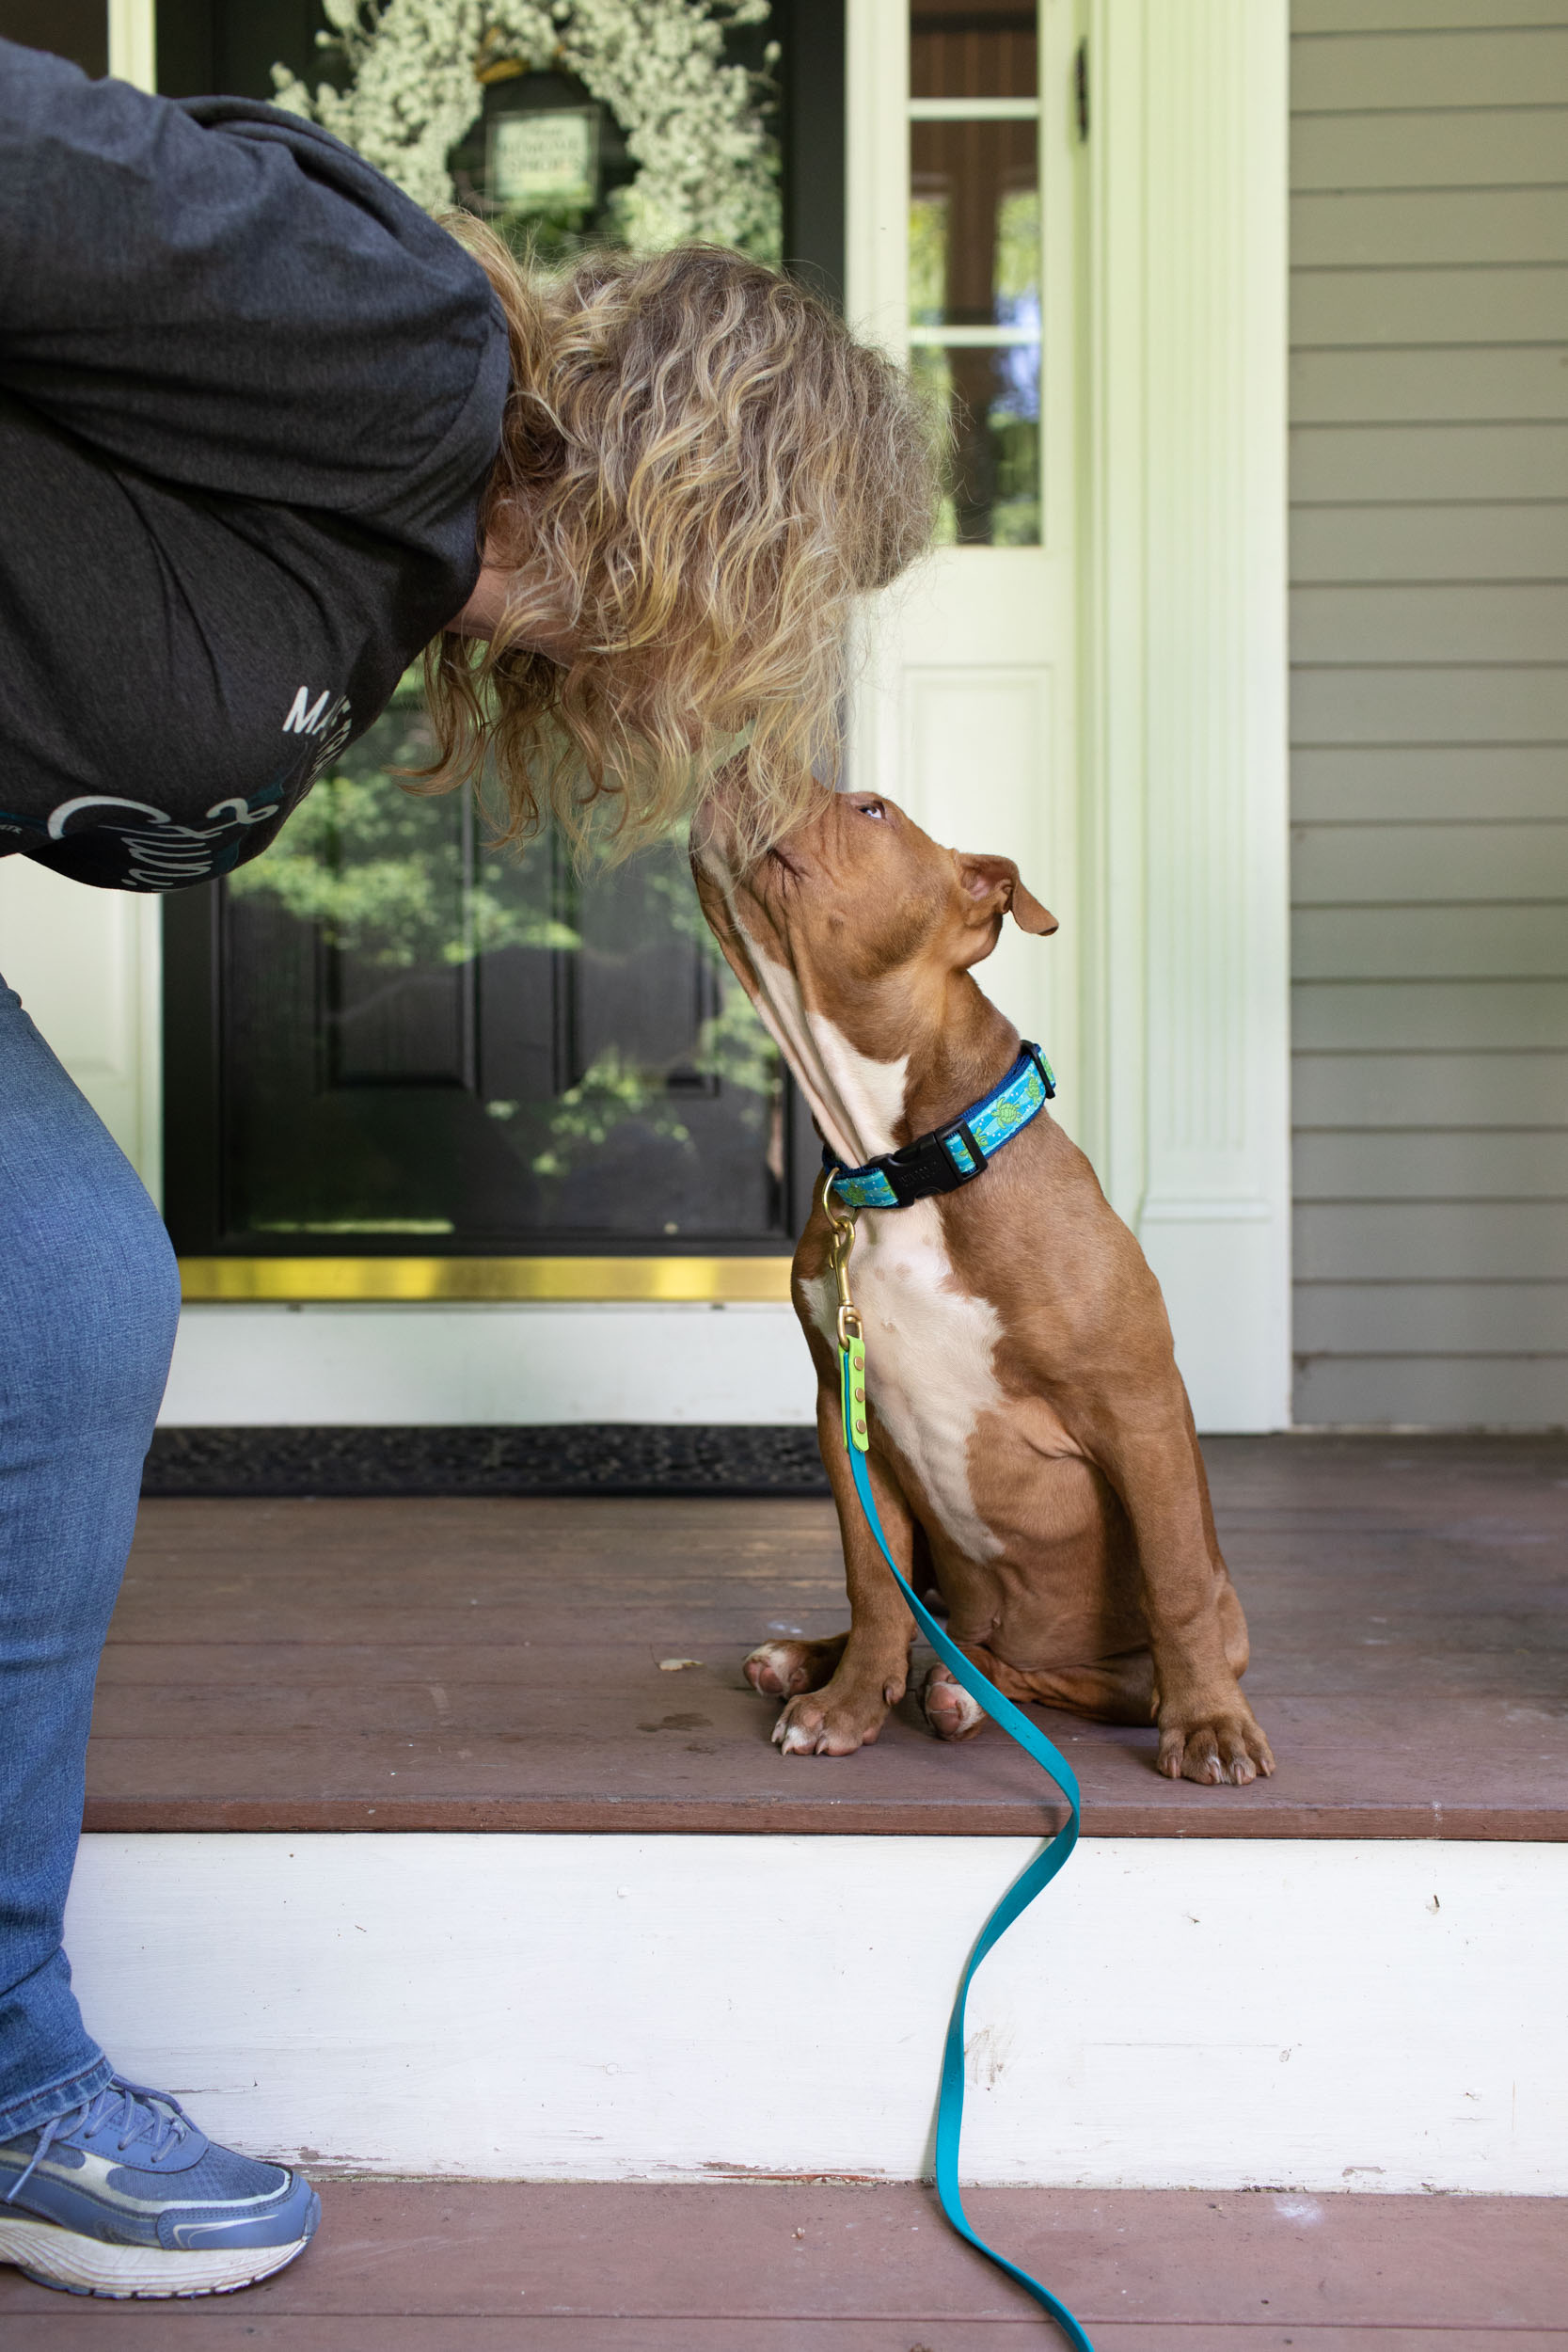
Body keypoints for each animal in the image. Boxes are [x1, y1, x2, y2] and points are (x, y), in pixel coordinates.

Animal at [700, 786, 1278, 1778]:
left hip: (1181, 1617)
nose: (737, 765)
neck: (898, 1169)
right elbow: (871, 1577)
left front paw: (1208, 1725)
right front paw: (847, 1702)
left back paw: (971, 1690)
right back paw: (820, 1661)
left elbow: (1172, 1580)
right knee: (924, 1616)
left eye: (871, 810)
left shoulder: (1140, 1408)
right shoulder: (841, 1409)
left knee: (1091, 1670)